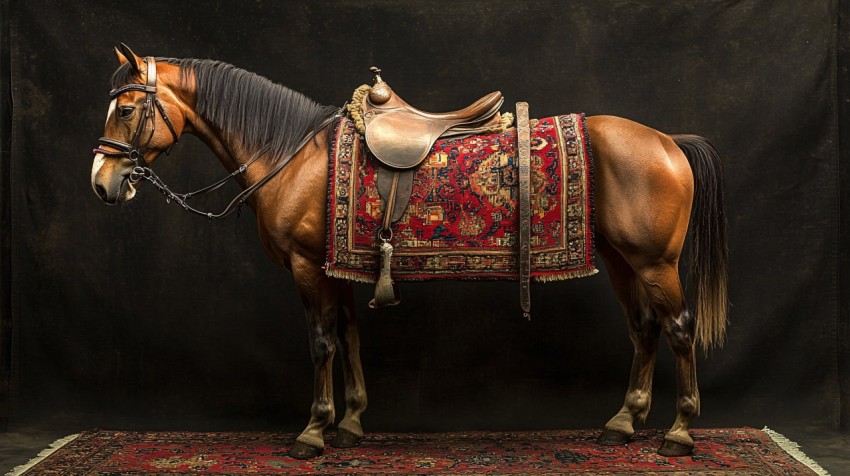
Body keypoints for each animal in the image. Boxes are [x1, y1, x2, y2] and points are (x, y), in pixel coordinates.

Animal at [93, 46, 728, 460]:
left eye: (125, 109)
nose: (103, 182)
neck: (292, 153)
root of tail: (668, 141)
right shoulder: (337, 267)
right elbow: (348, 335)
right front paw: (350, 422)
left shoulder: (307, 267)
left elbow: (320, 341)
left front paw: (313, 431)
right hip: (622, 261)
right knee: (643, 329)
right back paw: (624, 421)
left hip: (654, 263)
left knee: (678, 327)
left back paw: (679, 431)